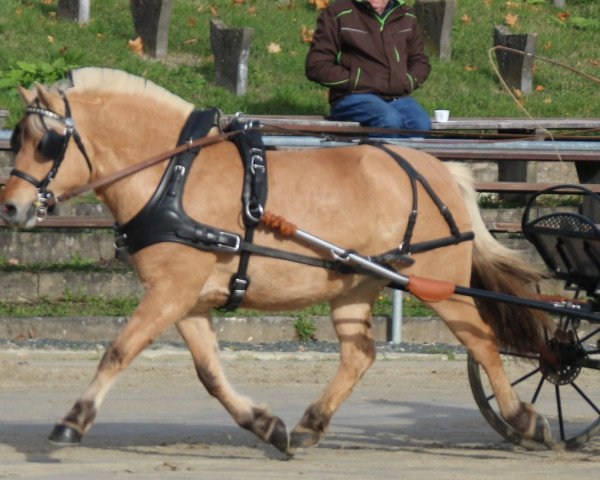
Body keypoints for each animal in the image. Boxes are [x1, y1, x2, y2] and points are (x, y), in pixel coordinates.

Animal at [0, 68, 552, 454]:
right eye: (17, 139)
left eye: (46, 142)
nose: (10, 208)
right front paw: (266, 425)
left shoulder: (171, 291)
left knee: (483, 343)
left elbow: (118, 351)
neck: (174, 173)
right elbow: (210, 373)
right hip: (353, 285)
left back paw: (524, 419)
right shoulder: (187, 299)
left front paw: (72, 421)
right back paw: (311, 424)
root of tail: (438, 169)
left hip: (439, 285)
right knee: (359, 355)